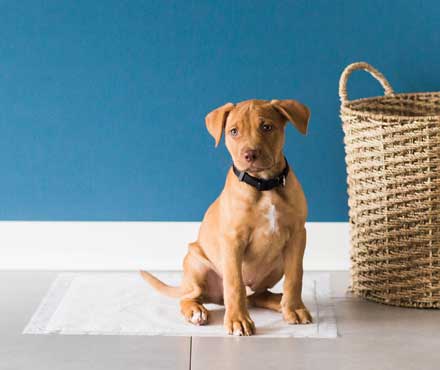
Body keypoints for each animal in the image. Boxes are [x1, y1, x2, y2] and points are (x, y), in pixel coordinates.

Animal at [140, 98, 310, 336]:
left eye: (267, 127)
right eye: (234, 131)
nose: (250, 155)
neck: (264, 185)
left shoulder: (297, 235)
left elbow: (295, 276)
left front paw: (294, 308)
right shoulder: (232, 241)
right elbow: (234, 283)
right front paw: (238, 320)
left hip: (277, 263)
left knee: (258, 295)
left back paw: (281, 302)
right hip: (196, 263)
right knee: (190, 297)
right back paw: (196, 312)